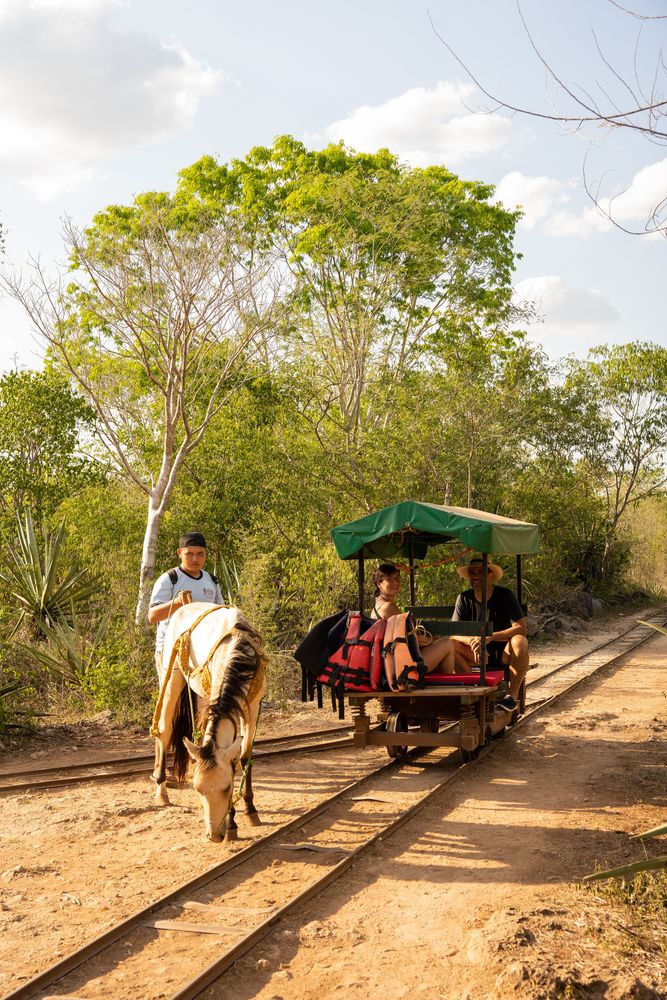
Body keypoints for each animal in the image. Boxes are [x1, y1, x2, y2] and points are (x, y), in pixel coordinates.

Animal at [151, 603, 267, 843]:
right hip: (172, 674)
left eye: (227, 787)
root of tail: (186, 605)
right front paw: (232, 823)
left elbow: (244, 757)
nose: (214, 835)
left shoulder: (252, 707)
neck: (238, 652)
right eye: (198, 789)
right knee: (164, 730)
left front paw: (250, 810)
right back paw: (161, 791)